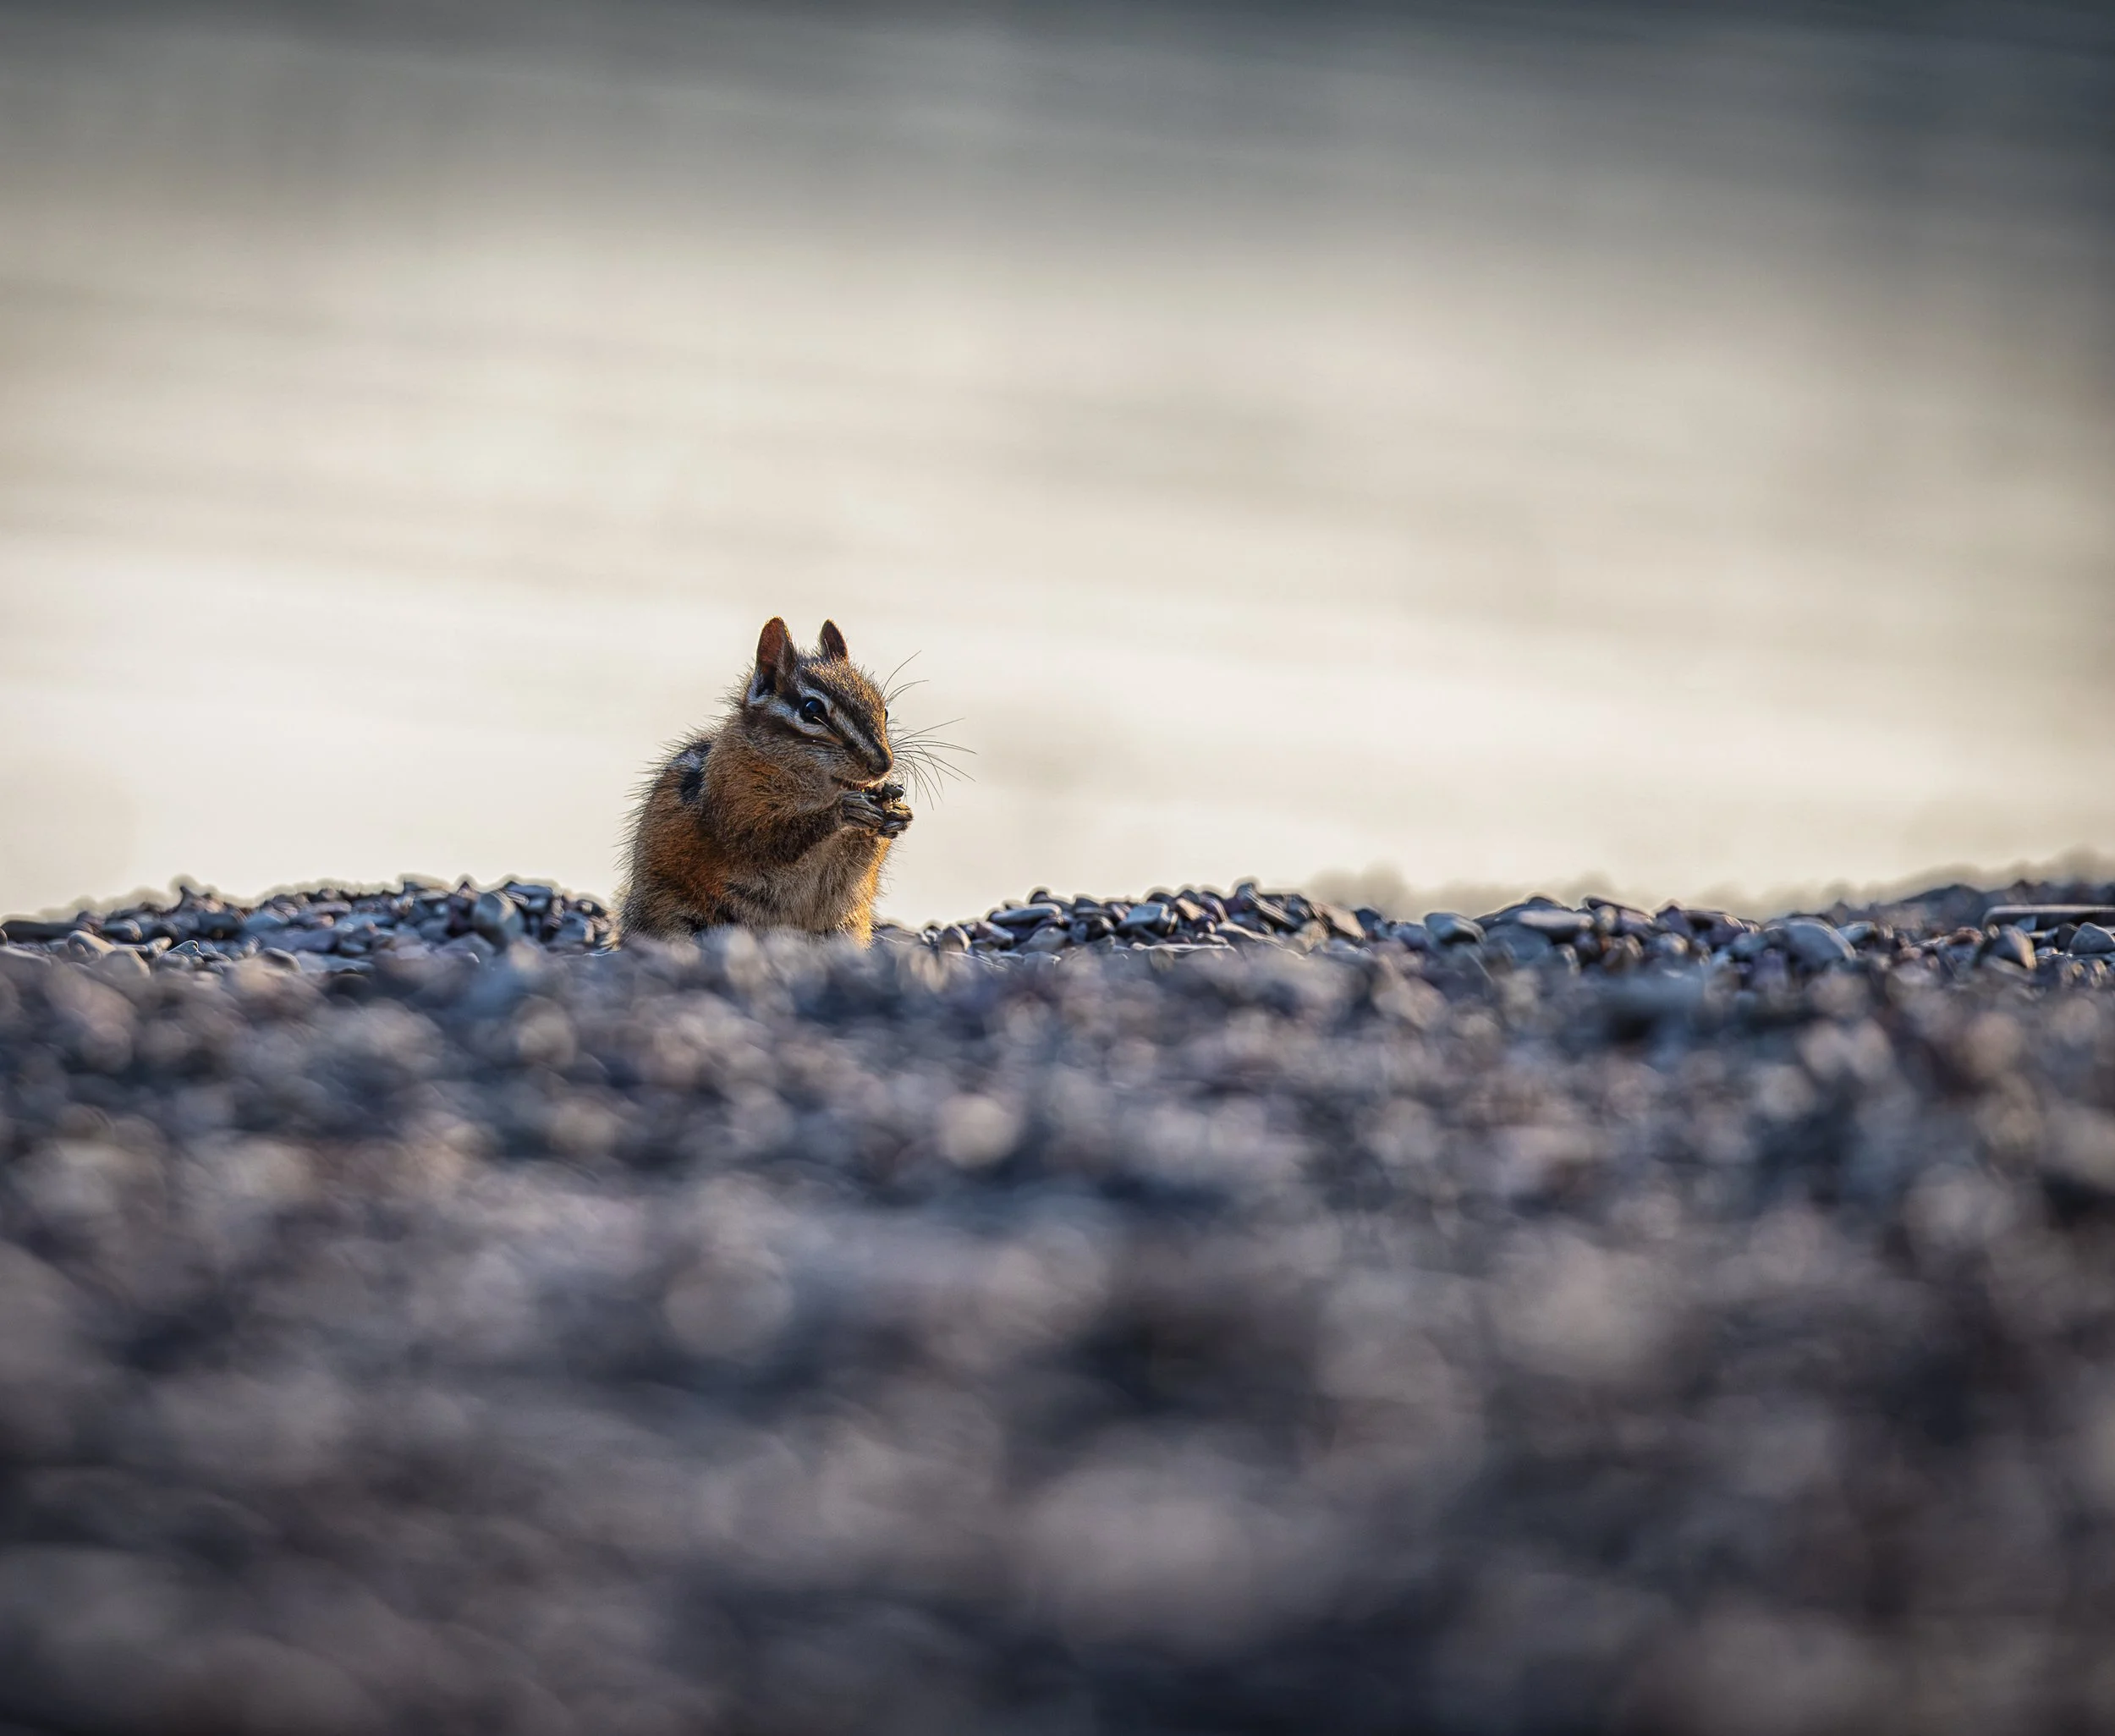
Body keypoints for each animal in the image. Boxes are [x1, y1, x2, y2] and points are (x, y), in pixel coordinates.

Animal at [620, 617, 912, 946]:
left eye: (883, 709)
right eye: (812, 710)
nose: (883, 765)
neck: (819, 784)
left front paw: (898, 812)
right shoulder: (735, 802)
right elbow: (767, 838)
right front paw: (844, 810)